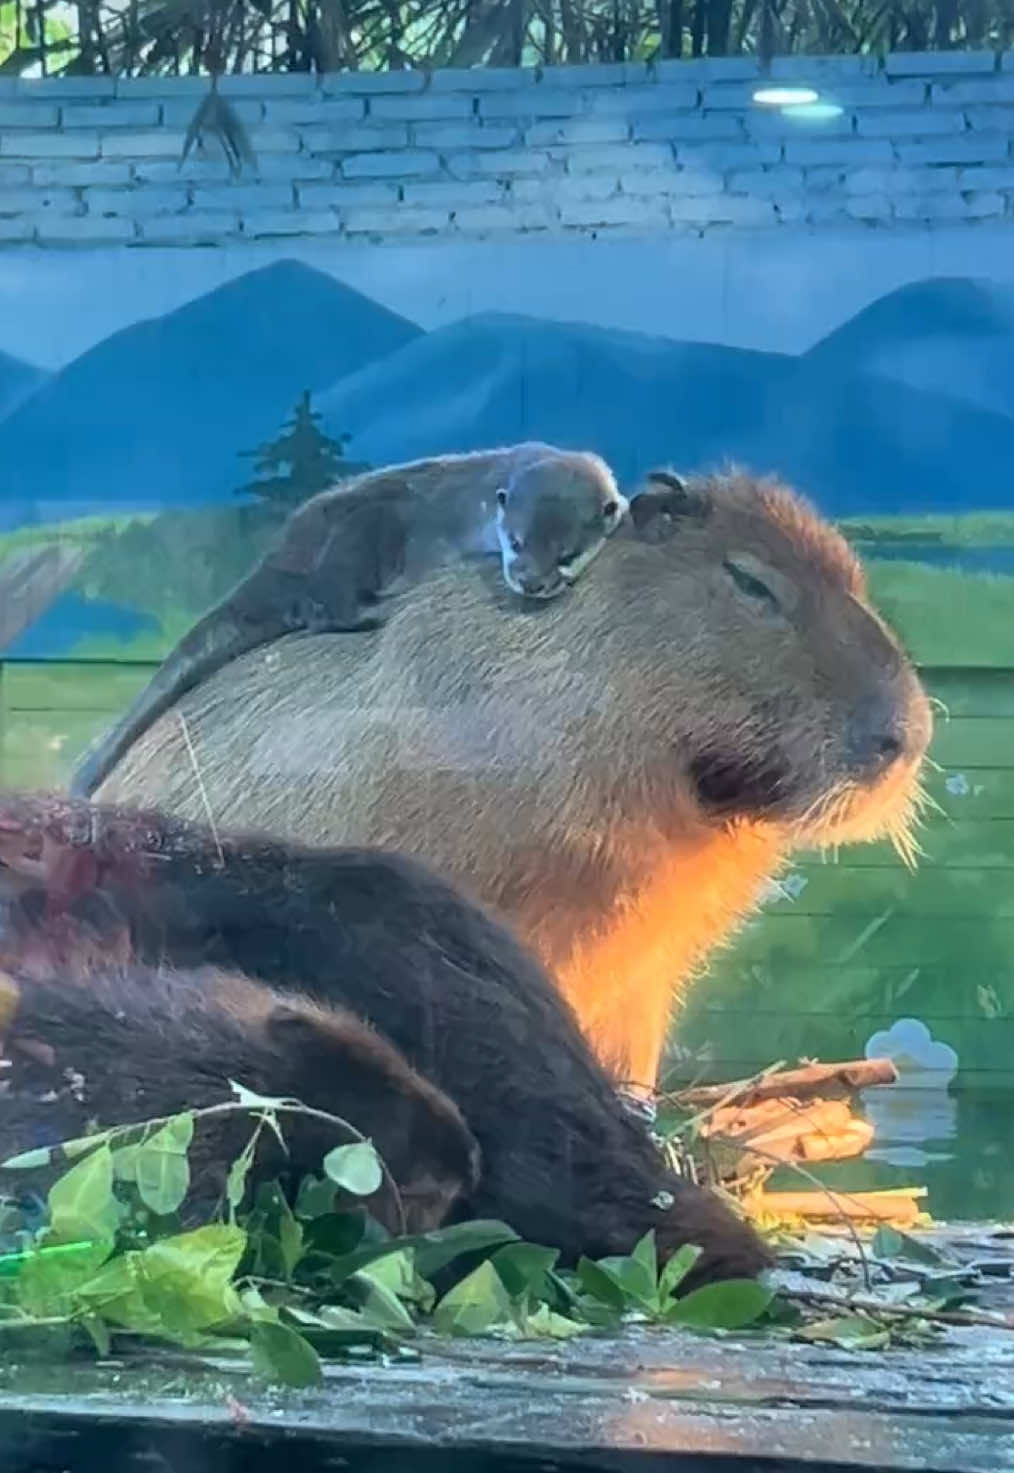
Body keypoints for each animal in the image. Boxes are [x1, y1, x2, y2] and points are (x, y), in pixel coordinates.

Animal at [69, 438, 624, 801]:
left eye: (566, 553)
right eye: (517, 542)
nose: (529, 581)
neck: (481, 503)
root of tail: (276, 561)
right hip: (364, 527)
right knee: (322, 607)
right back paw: (378, 607)